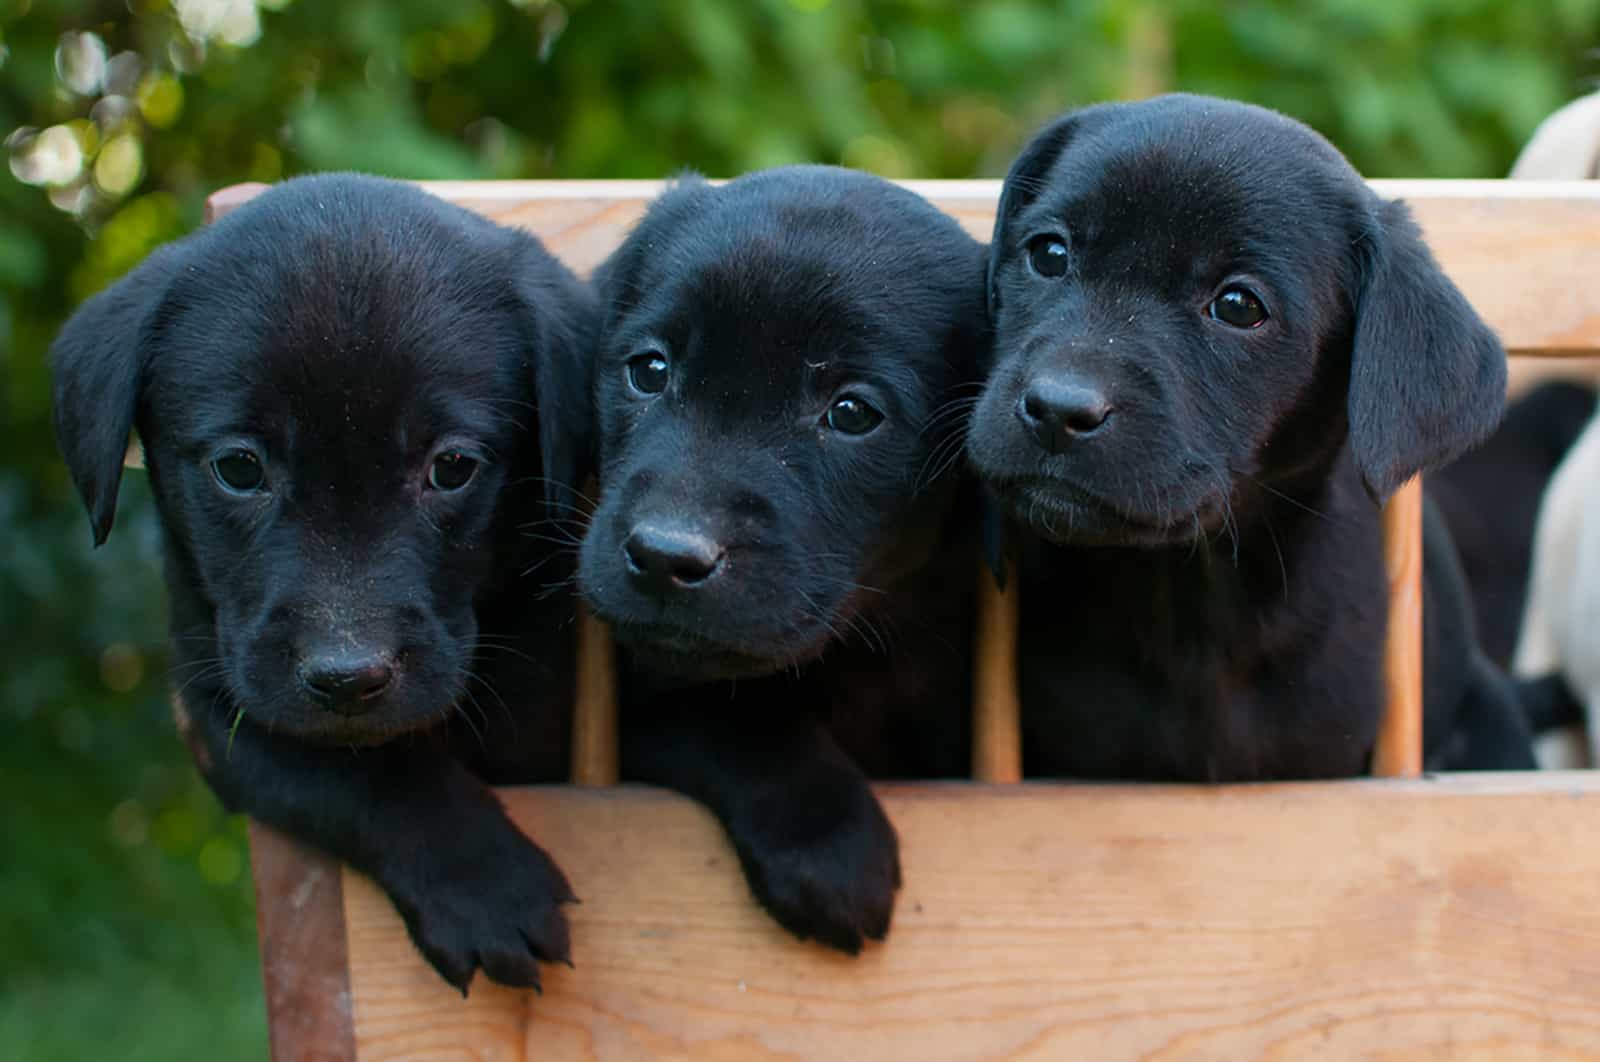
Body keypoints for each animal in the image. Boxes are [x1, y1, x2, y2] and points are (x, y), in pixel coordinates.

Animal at [54, 174, 601, 998]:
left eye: (452, 468)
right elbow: (354, 771)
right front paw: (487, 891)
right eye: (239, 468)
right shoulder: (218, 707)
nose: (348, 676)